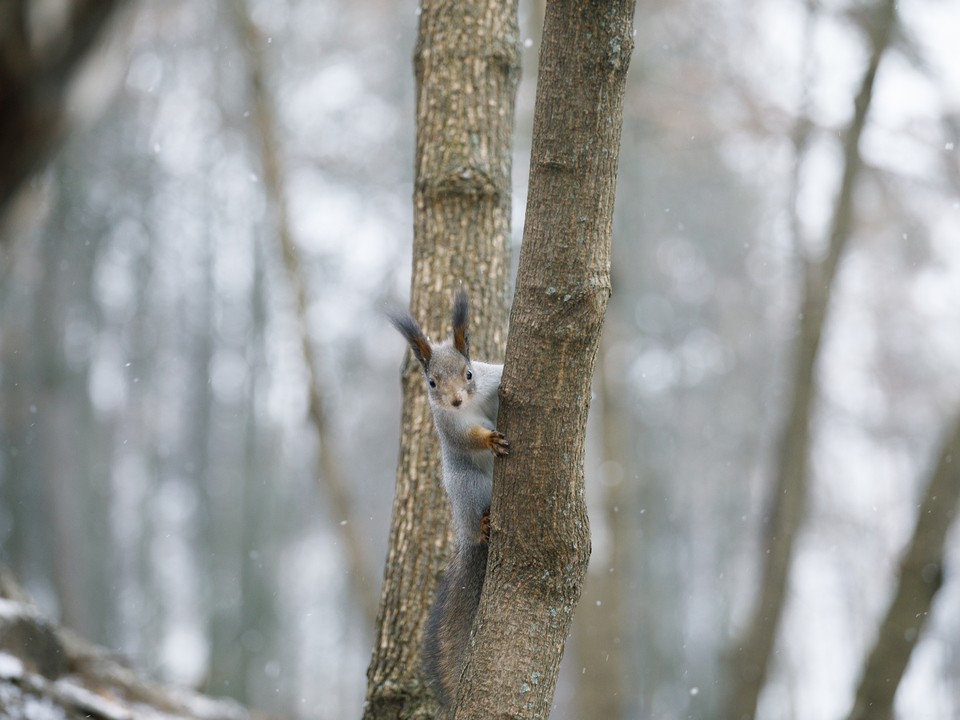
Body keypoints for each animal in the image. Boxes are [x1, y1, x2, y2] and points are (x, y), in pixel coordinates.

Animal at [390, 288, 510, 708]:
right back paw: (484, 524)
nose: (455, 401)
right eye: (431, 382)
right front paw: (488, 439)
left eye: (469, 373)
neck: (470, 405)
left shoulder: (494, 382)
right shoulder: (448, 425)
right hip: (466, 486)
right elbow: (466, 438)